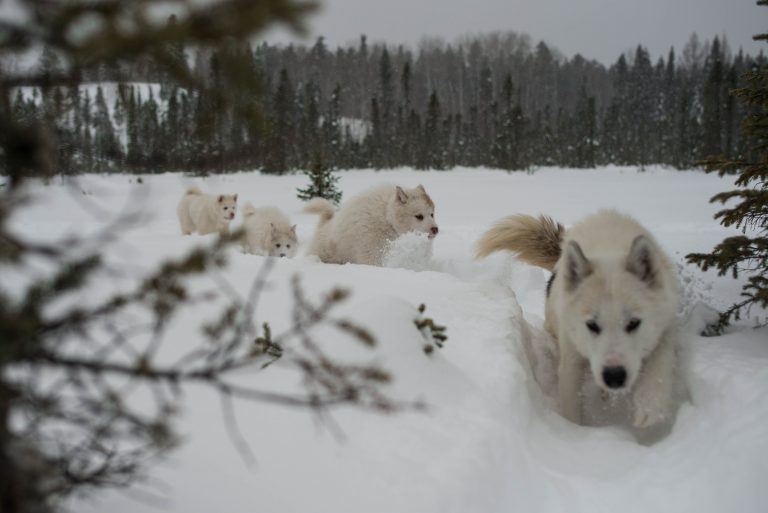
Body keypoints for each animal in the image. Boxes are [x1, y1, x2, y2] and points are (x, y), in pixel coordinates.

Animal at [304, 183, 438, 264]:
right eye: (419, 216)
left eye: (432, 214)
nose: (435, 229)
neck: (387, 219)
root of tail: (325, 222)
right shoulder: (371, 255)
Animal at [476, 209, 680, 428]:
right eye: (592, 325)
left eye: (634, 323)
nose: (614, 376)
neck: (609, 249)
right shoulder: (571, 360)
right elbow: (571, 406)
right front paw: (574, 431)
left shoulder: (665, 328)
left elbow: (660, 364)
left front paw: (650, 406)